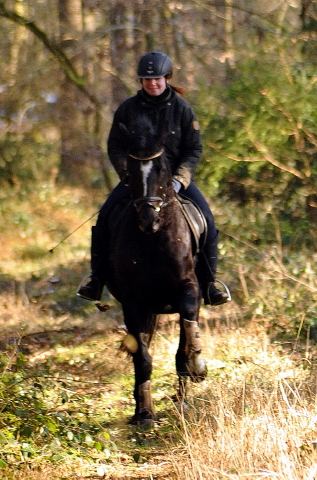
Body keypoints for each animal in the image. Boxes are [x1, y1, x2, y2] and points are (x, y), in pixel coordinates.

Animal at [104, 116, 207, 428]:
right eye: (131, 169)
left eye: (162, 168)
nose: (148, 218)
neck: (154, 241)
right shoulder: (134, 303)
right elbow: (143, 358)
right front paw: (145, 413)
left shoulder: (190, 290)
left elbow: (186, 343)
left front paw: (197, 367)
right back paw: (142, 407)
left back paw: (183, 397)